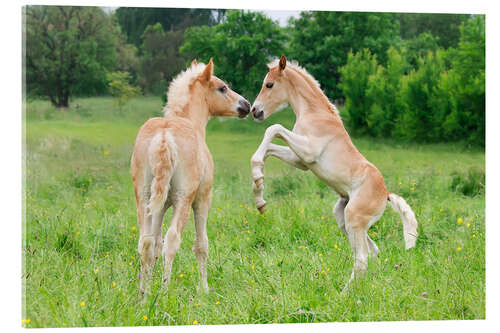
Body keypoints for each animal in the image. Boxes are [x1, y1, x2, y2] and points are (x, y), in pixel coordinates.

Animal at [131, 59, 250, 294]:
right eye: (222, 88)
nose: (246, 105)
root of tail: (164, 136)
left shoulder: (160, 206)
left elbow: (155, 244)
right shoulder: (203, 199)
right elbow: (201, 244)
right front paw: (204, 289)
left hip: (144, 198)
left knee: (146, 242)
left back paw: (144, 294)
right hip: (183, 199)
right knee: (172, 239)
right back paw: (164, 292)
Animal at [250, 54, 418, 290]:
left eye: (269, 85)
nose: (255, 111)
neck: (314, 113)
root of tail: (385, 194)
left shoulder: (308, 151)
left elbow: (273, 129)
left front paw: (258, 179)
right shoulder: (301, 160)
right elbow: (269, 149)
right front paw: (259, 192)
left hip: (354, 218)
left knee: (362, 259)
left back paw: (345, 293)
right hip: (343, 218)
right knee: (372, 252)